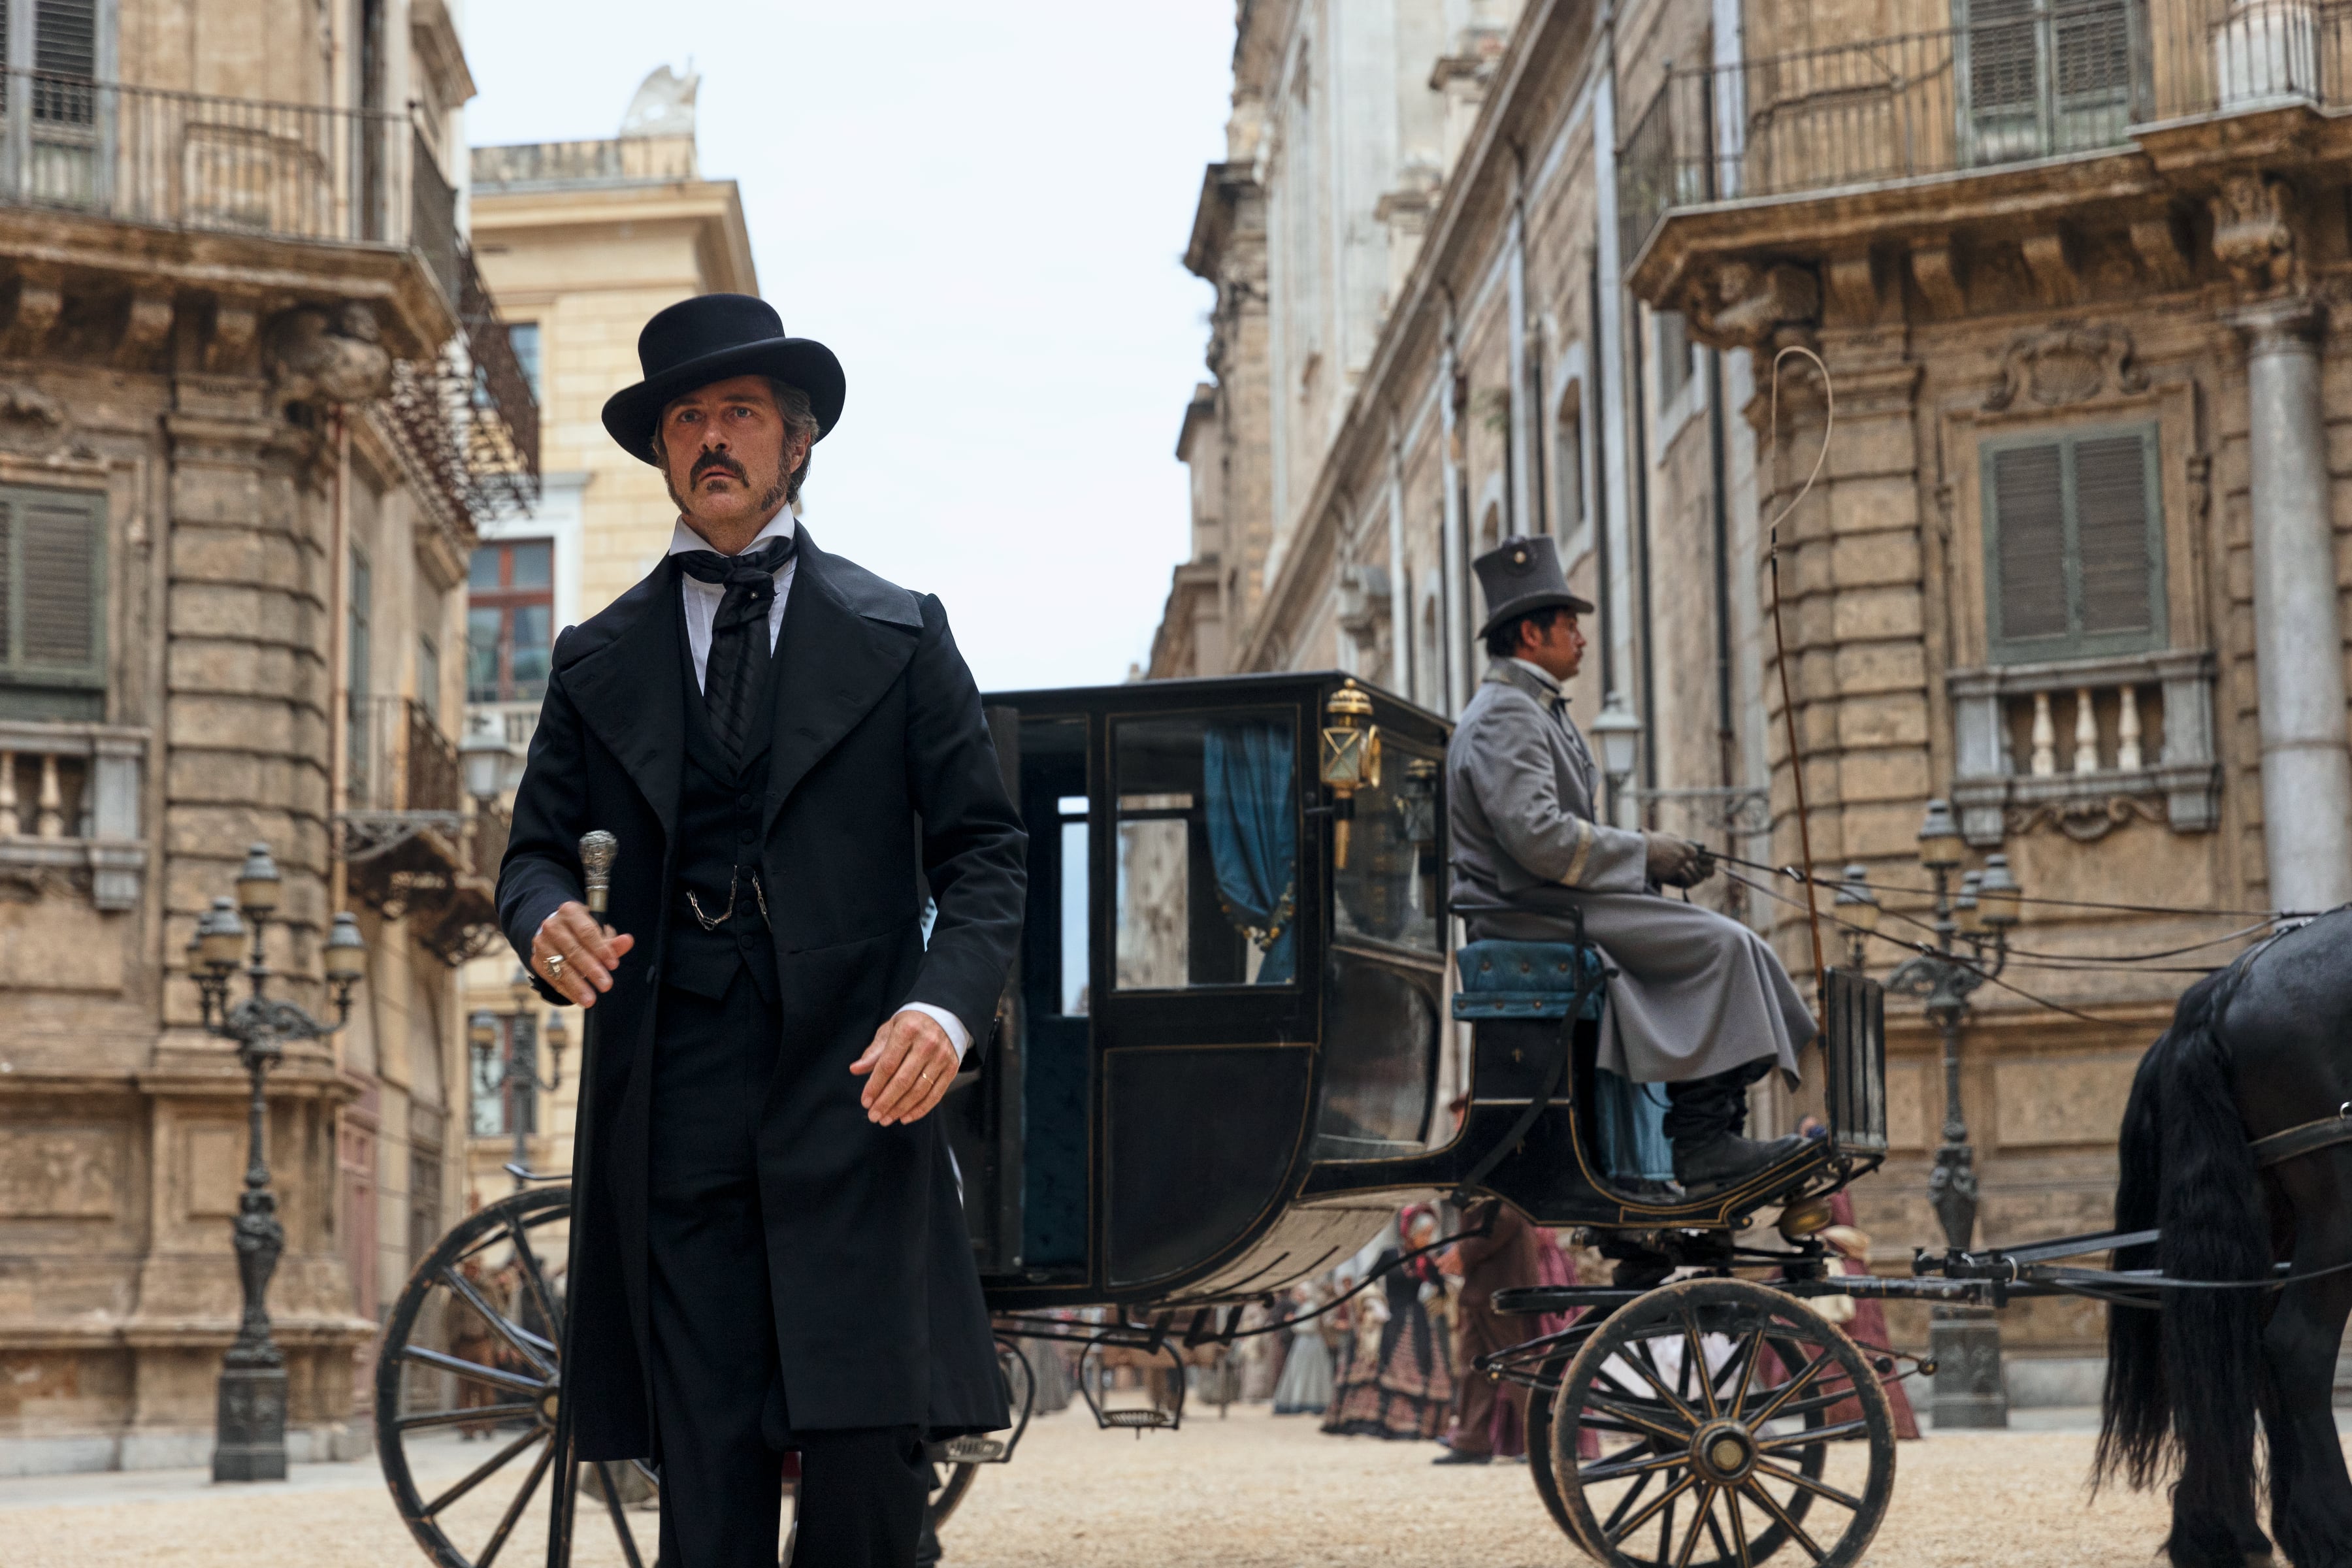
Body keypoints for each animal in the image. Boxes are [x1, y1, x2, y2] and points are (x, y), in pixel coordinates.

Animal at [2098, 907, 2352, 1568]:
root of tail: (2233, 980)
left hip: (2267, 1219)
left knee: (2244, 1352)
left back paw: (2227, 1533)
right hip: (2333, 1211)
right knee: (2296, 1349)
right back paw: (2328, 1530)